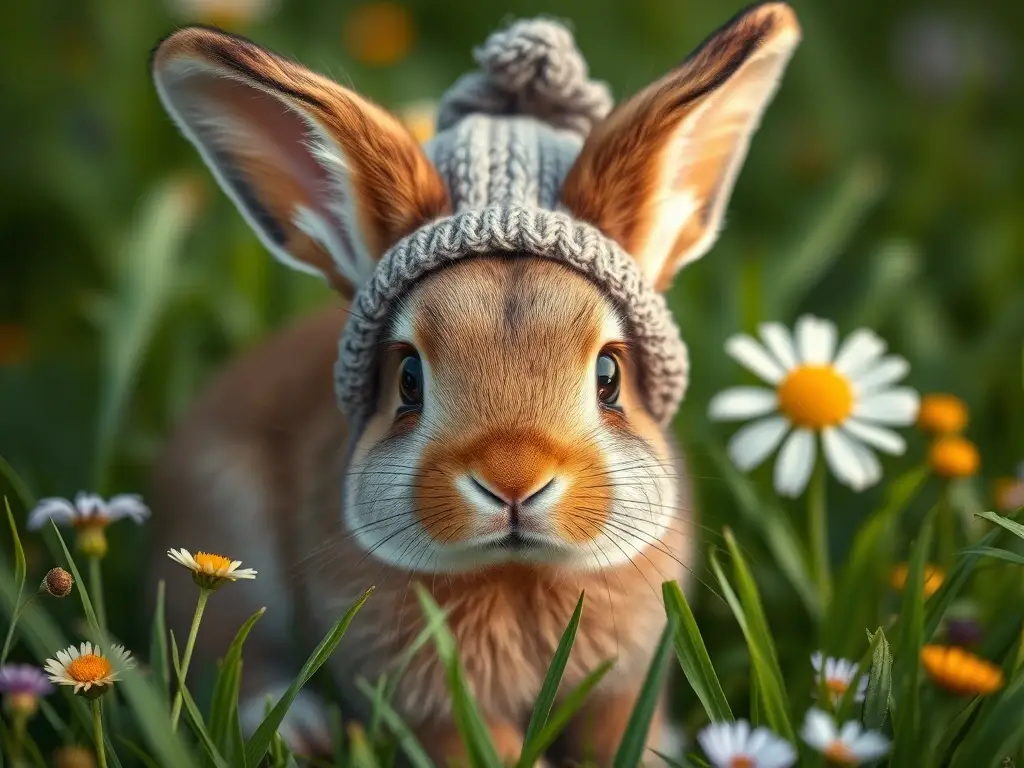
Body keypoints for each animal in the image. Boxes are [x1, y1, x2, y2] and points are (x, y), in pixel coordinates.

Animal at [146, 2, 800, 765]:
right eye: (408, 378)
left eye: (609, 374)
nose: (513, 481)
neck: (517, 573)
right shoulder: (428, 701)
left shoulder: (624, 683)